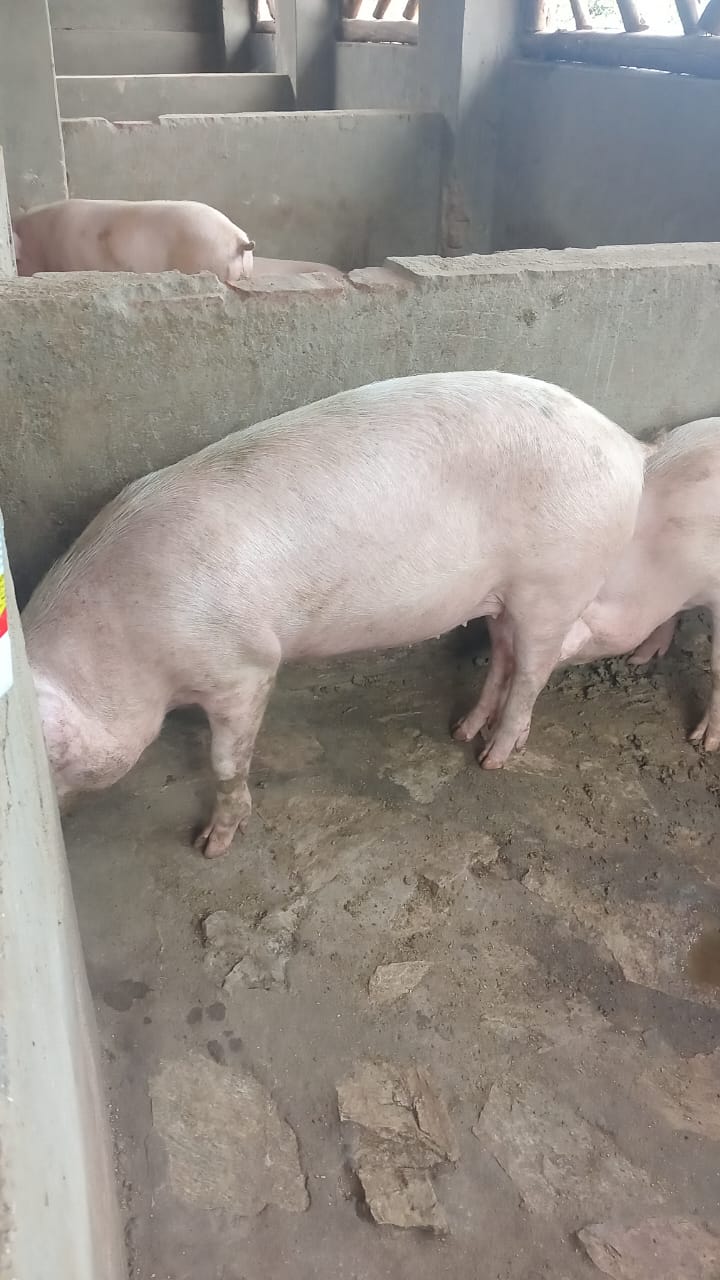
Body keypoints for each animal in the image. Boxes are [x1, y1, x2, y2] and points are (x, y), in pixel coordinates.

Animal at [22, 372, 646, 857]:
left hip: (557, 582)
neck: (125, 647)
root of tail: (627, 445)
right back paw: (462, 730)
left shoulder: (244, 667)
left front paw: (209, 846)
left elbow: (226, 761)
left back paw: (491, 758)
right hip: (504, 595)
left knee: (533, 673)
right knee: (503, 656)